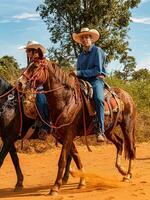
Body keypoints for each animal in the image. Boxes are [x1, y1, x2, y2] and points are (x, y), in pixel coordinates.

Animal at [17, 59, 136, 195]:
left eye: (35, 66)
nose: (20, 83)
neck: (66, 100)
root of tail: (127, 96)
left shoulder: (69, 134)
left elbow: (63, 159)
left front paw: (55, 187)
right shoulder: (63, 136)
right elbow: (75, 156)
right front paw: (81, 181)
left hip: (127, 126)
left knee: (131, 149)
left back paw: (128, 175)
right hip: (108, 130)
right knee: (120, 143)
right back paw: (122, 170)